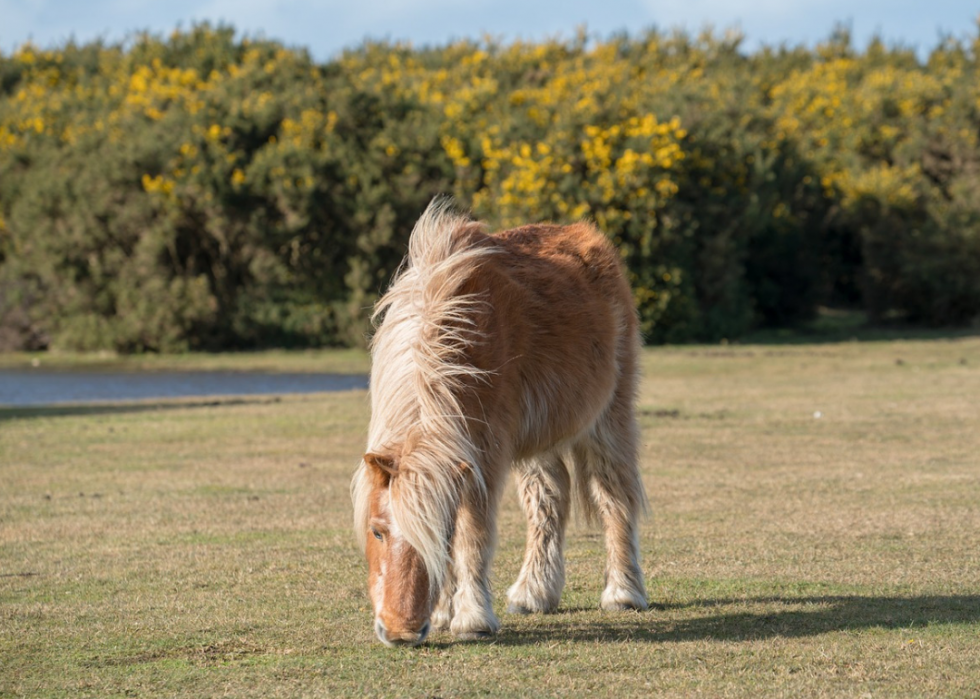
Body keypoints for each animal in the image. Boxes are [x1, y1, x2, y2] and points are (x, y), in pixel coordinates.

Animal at [352, 196, 652, 644]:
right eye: (376, 531)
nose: (401, 631)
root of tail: (584, 235)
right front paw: (443, 612)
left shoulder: (485, 454)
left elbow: (471, 534)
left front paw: (472, 619)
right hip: (537, 436)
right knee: (551, 498)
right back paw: (534, 593)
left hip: (607, 419)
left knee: (613, 493)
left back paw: (623, 592)